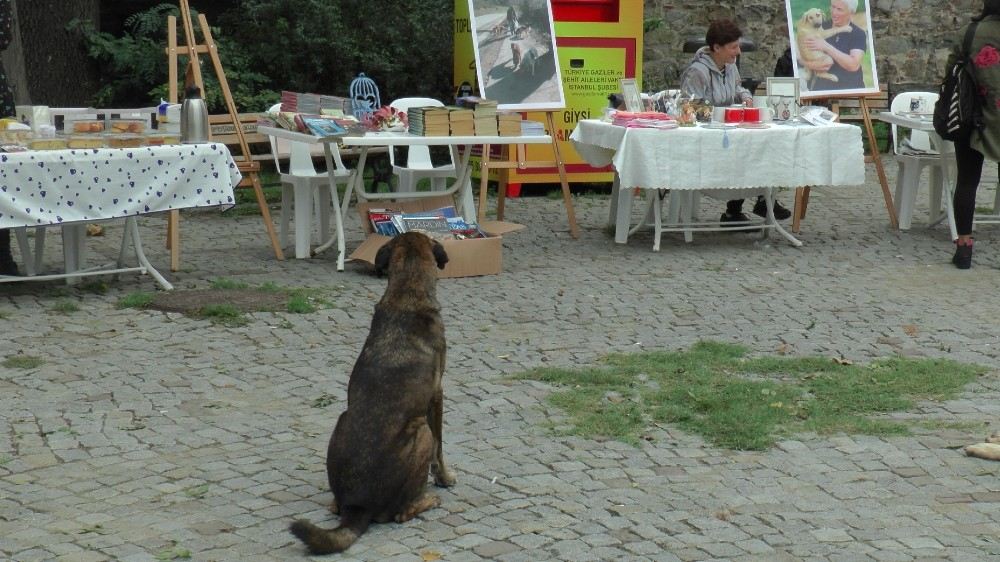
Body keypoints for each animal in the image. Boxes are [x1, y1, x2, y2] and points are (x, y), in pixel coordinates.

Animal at [290, 231, 454, 552]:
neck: (406, 295)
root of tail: (358, 507)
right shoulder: (437, 395)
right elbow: (440, 449)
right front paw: (444, 478)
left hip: (341, 420)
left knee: (334, 506)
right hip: (421, 432)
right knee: (402, 513)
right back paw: (429, 499)